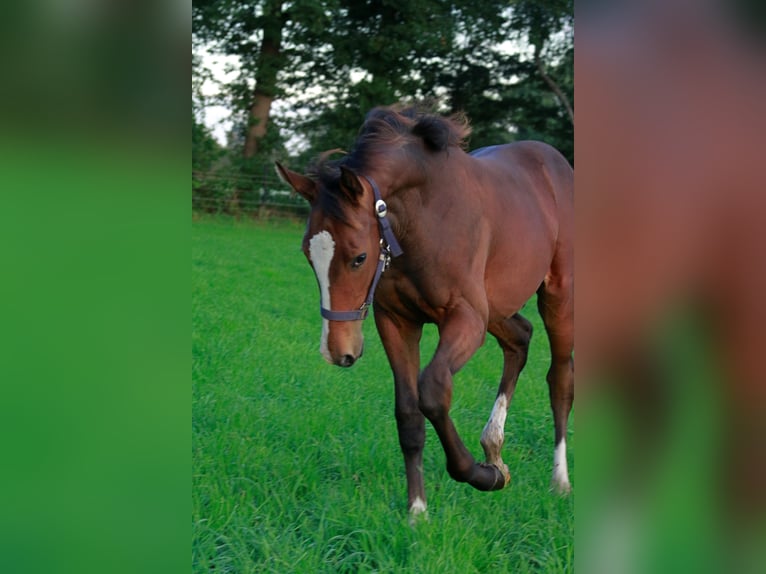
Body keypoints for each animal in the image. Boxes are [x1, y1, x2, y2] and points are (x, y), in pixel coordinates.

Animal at [276, 104, 573, 516]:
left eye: (359, 257)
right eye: (308, 254)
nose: (337, 351)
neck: (423, 219)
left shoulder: (466, 319)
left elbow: (431, 390)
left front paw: (481, 477)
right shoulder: (397, 321)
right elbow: (408, 412)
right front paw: (417, 510)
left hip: (557, 296)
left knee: (559, 378)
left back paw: (557, 480)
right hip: (497, 307)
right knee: (520, 339)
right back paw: (494, 449)